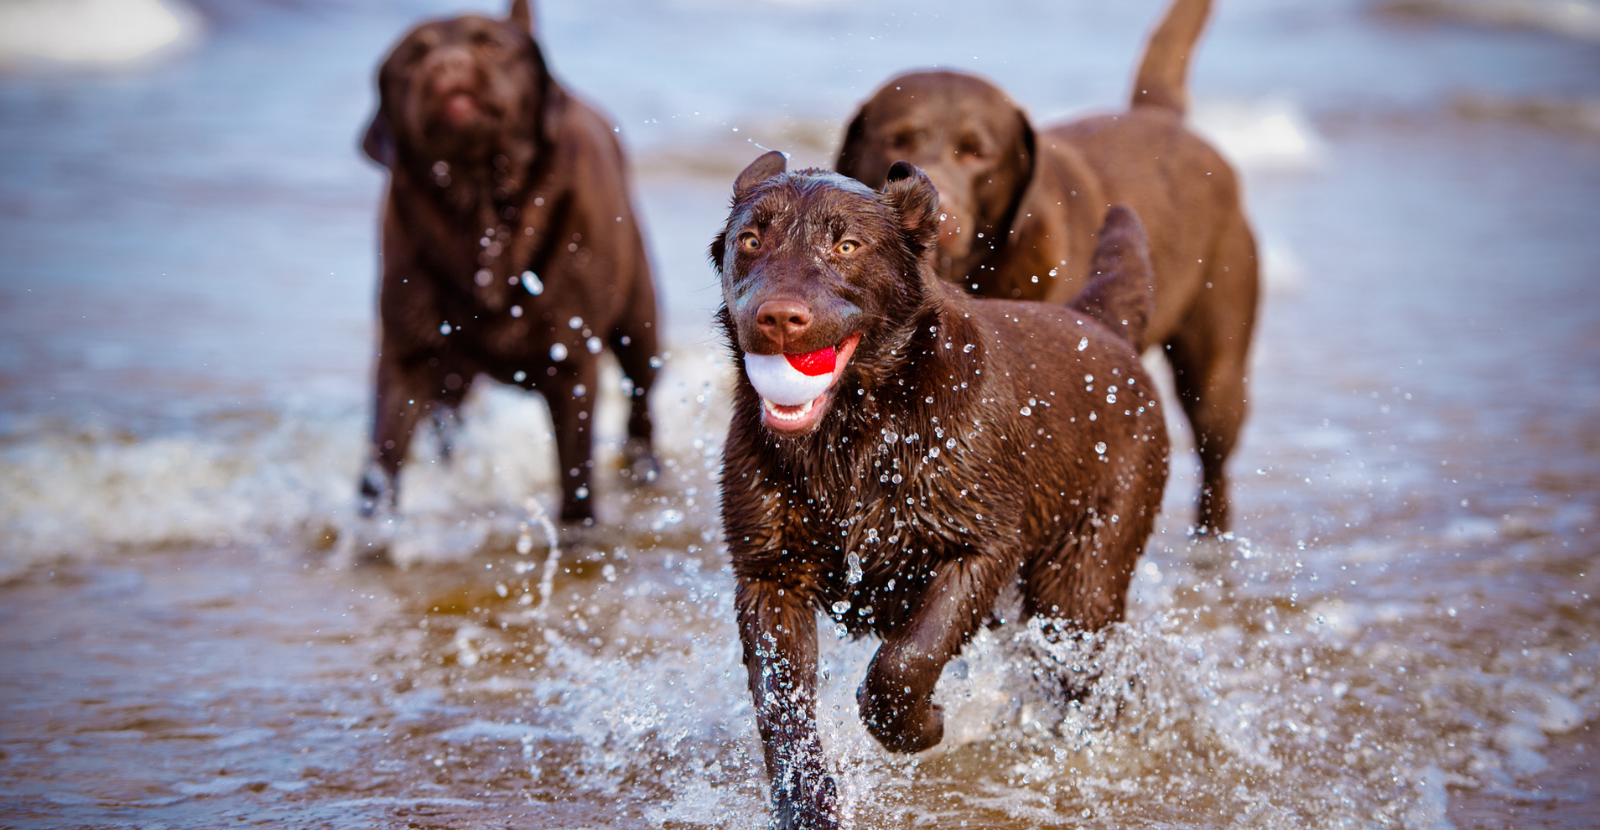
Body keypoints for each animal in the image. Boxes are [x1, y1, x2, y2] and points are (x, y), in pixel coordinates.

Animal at [720, 152, 1171, 825]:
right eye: (750, 240)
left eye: (847, 245)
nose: (777, 317)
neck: (857, 435)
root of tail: (1102, 328)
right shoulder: (769, 578)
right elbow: (784, 711)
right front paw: (808, 804)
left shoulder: (980, 546)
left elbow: (904, 663)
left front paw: (922, 727)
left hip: (1076, 589)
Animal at [832, 0, 1254, 534]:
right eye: (897, 142)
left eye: (978, 153)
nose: (938, 210)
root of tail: (1161, 117)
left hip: (1216, 370)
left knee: (1215, 458)